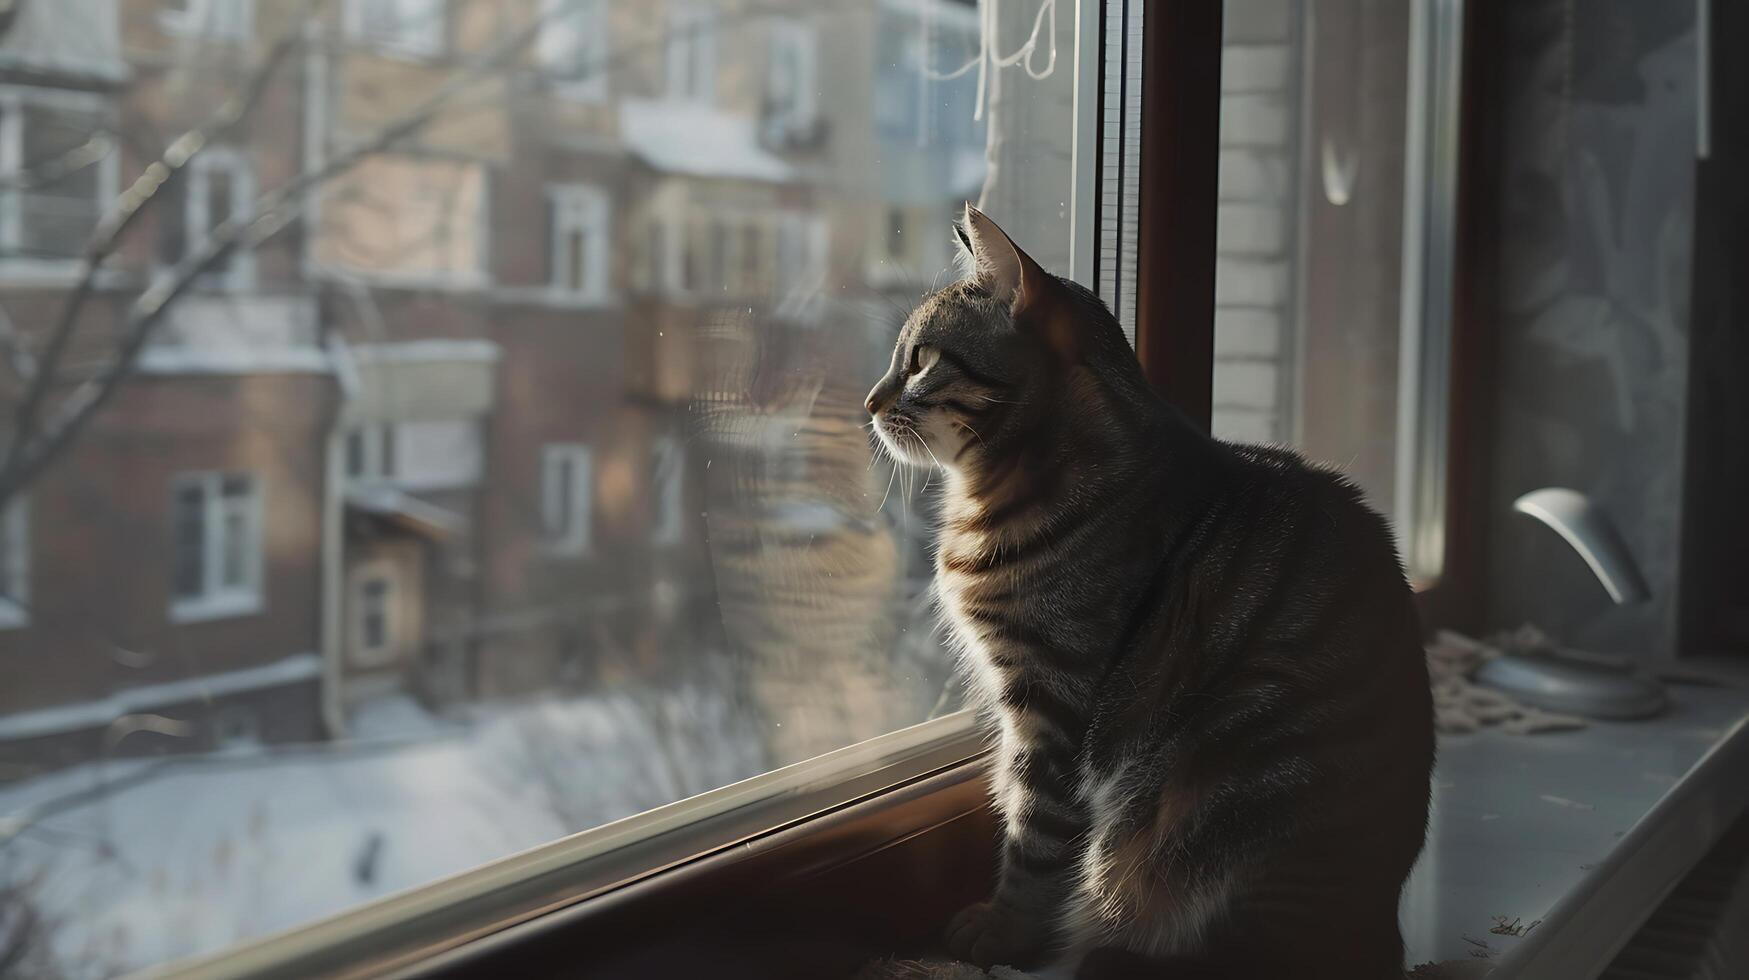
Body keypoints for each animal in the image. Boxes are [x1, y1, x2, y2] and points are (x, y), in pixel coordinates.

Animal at [864, 210, 1434, 973]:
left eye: (922, 359)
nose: (869, 402)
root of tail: (1377, 932)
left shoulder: (1052, 698)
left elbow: (1032, 834)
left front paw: (1003, 931)